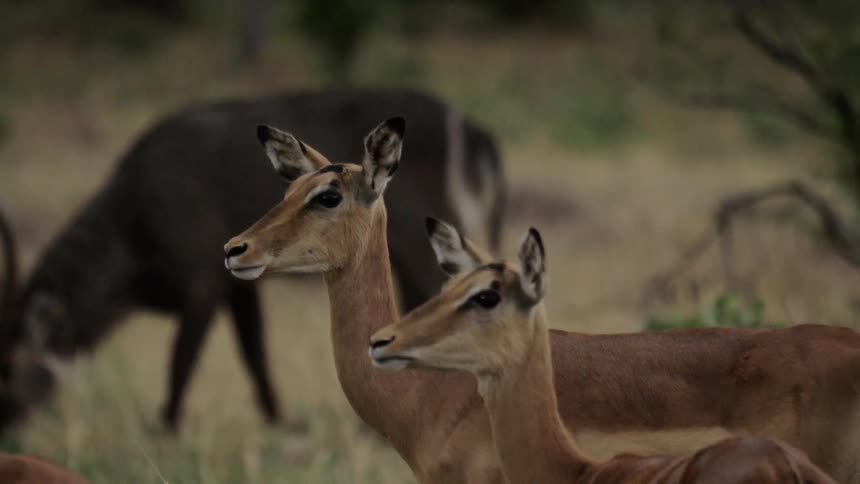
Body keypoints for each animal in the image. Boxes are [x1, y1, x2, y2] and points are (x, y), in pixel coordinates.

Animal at [0, 88, 504, 430]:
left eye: (7, 364)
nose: (11, 427)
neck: (136, 212)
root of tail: (474, 130)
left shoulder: (202, 288)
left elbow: (182, 362)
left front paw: (166, 432)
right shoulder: (235, 289)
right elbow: (255, 356)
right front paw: (283, 424)